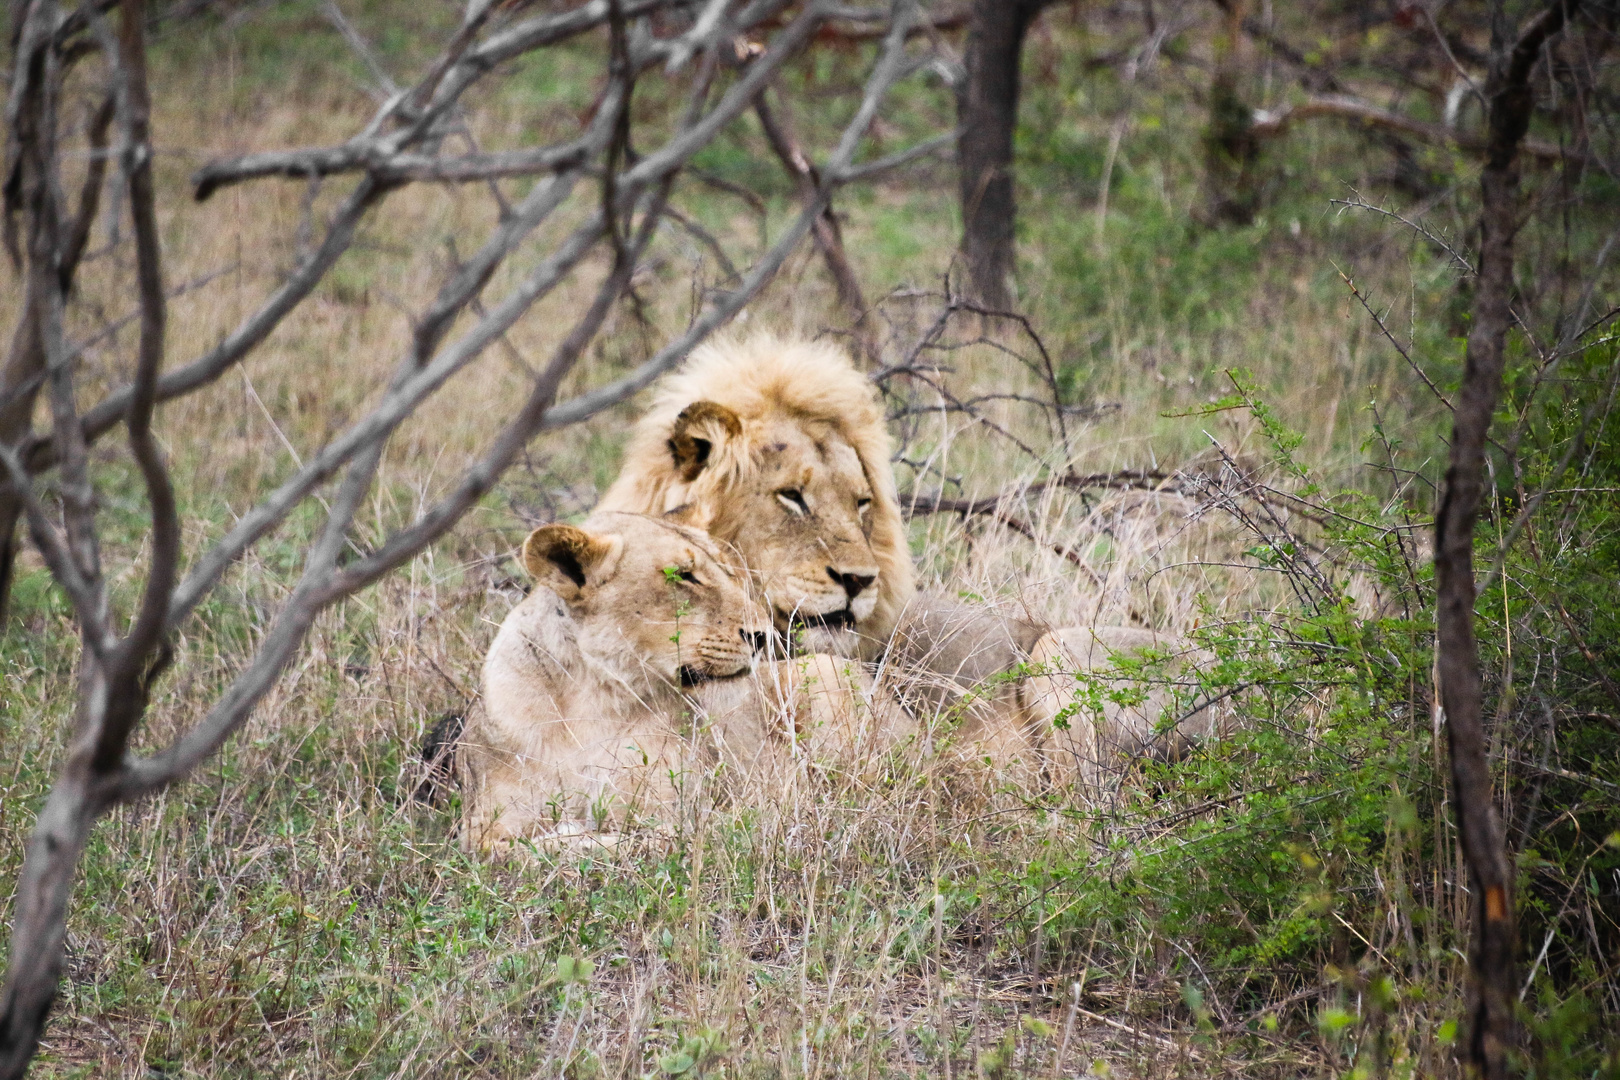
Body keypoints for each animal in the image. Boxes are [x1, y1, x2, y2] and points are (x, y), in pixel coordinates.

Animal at [463, 511, 771, 848]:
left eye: (728, 572)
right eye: (683, 575)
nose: (763, 636)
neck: (590, 695)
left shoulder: (675, 822)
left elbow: (598, 842)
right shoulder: (482, 828)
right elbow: (521, 846)